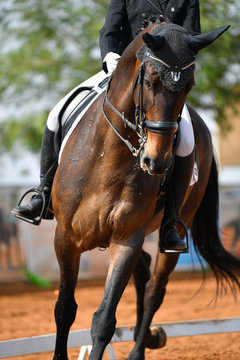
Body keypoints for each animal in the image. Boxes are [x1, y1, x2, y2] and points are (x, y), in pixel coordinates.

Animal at [51, 22, 239, 360]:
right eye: (150, 82)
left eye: (189, 86)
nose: (156, 161)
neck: (108, 157)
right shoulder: (66, 238)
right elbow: (64, 309)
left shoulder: (127, 238)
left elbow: (103, 320)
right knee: (143, 273)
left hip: (173, 232)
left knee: (155, 290)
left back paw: (141, 346)